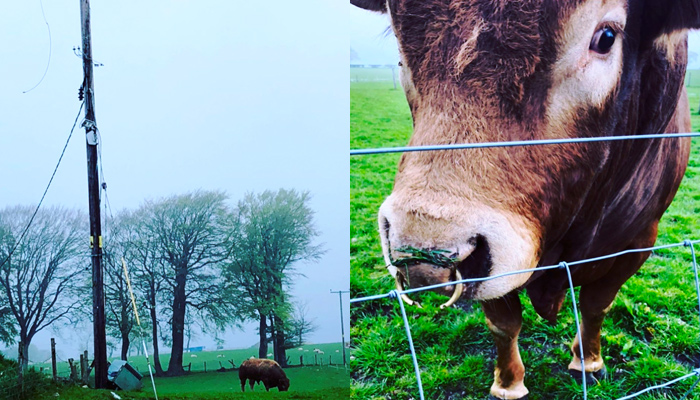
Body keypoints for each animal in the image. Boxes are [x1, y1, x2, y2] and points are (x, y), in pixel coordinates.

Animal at [352, 0, 700, 398]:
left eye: (607, 37)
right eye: (402, 42)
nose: (424, 253)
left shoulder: (637, 242)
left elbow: (595, 306)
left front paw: (588, 363)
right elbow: (504, 323)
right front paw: (508, 384)